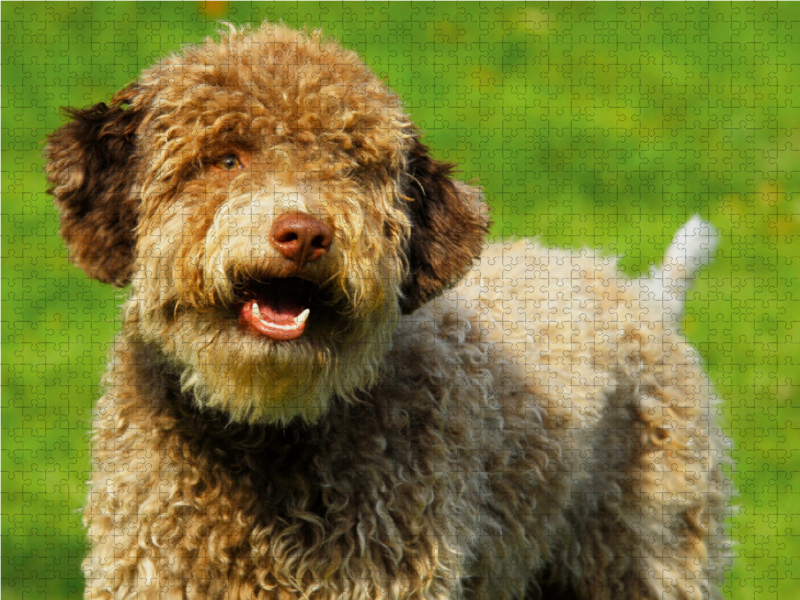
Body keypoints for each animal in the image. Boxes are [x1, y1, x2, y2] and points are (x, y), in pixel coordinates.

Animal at [45, 22, 732, 600]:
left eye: (350, 167)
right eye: (225, 158)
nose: (304, 234)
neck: (266, 435)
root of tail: (647, 294)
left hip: (649, 550)